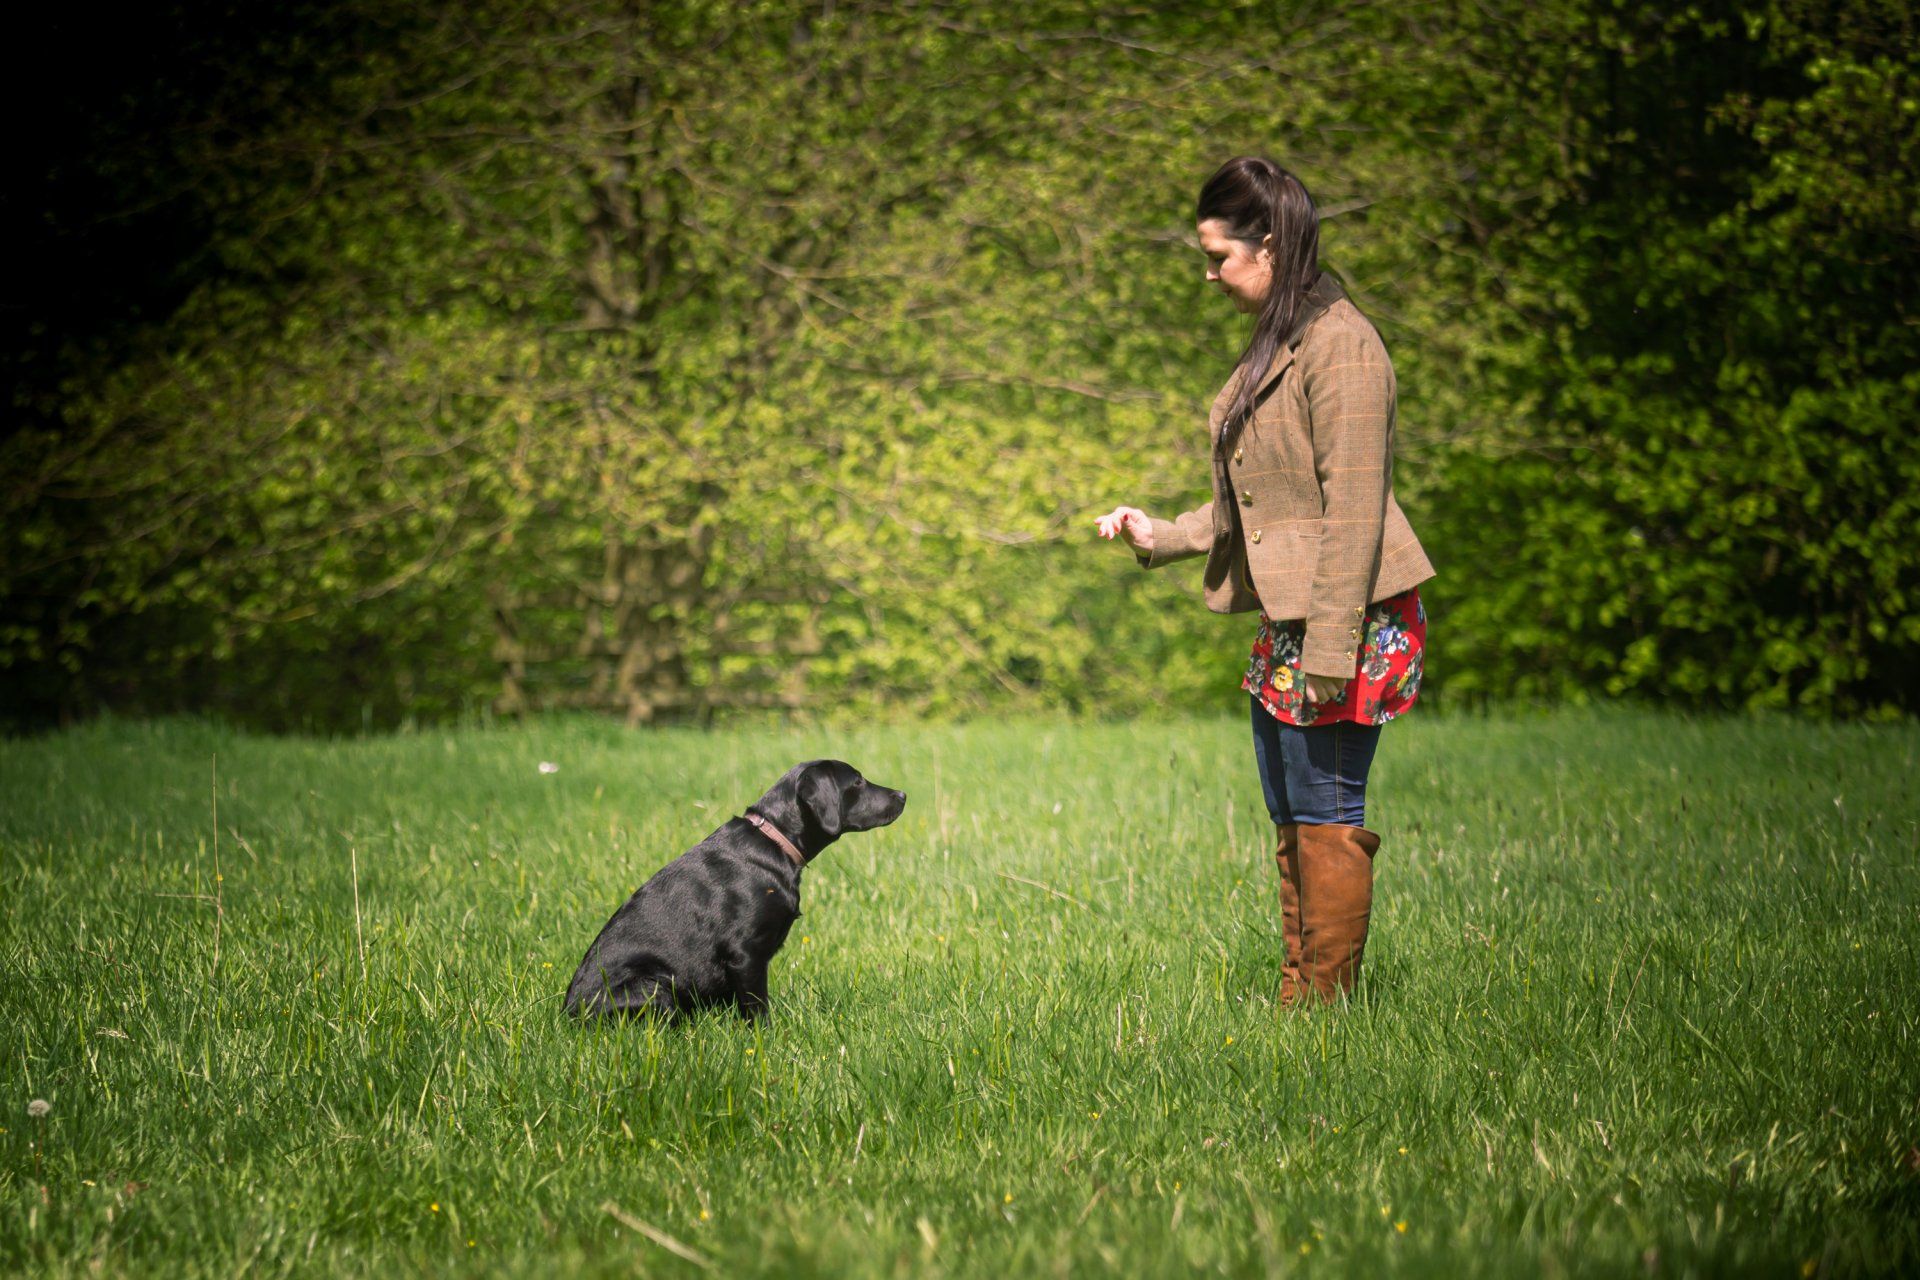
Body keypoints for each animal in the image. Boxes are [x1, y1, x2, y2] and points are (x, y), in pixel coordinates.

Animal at [560, 759, 906, 1020]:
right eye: (857, 782)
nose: (902, 794)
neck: (774, 840)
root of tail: (569, 1016)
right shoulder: (745, 954)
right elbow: (757, 1010)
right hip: (652, 984)